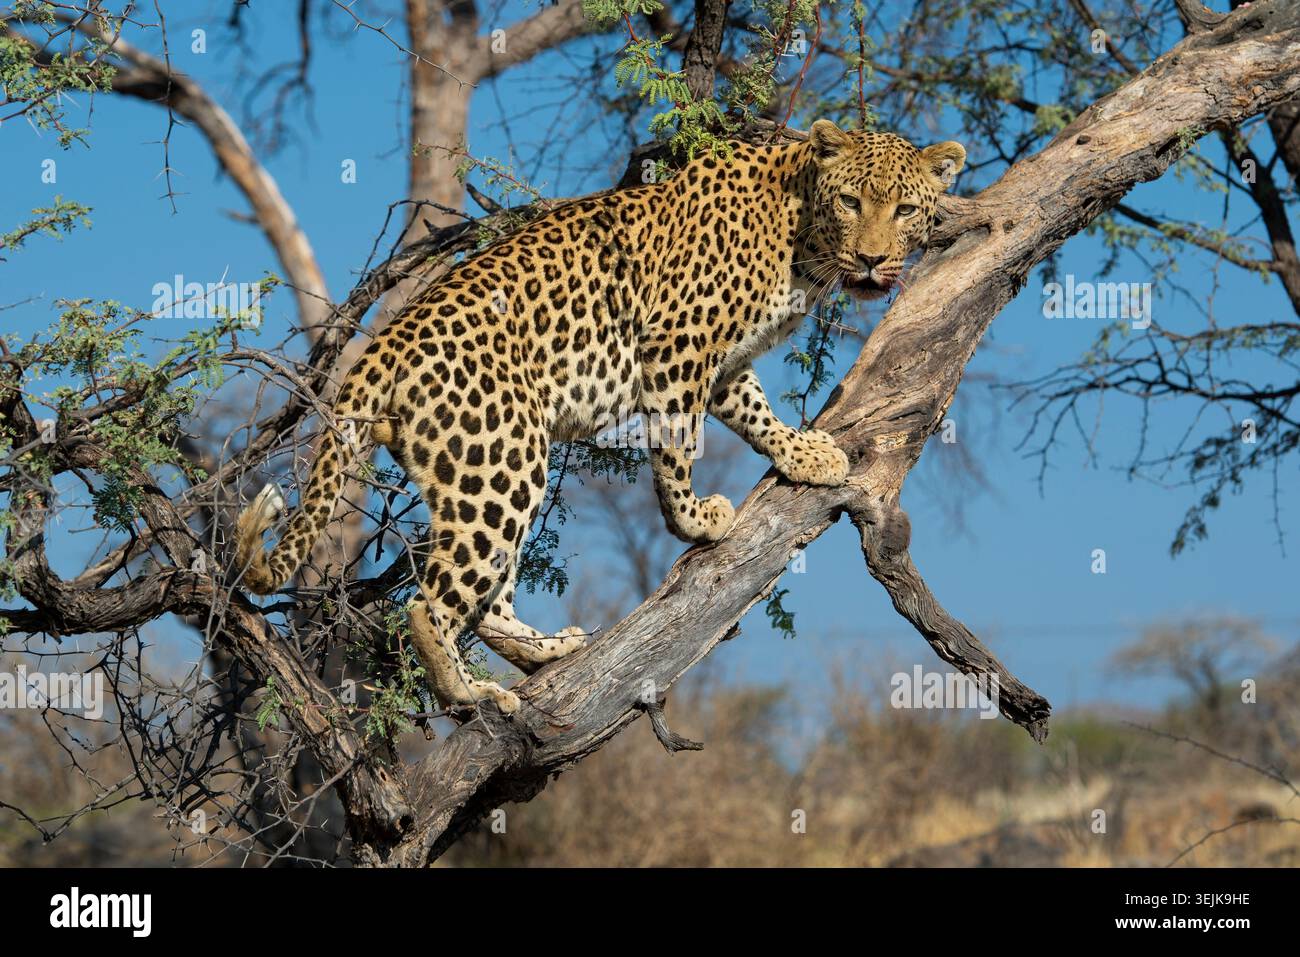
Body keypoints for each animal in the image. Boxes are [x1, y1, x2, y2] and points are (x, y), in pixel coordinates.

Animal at [234, 118, 966, 716]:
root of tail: (381, 345)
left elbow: (755, 410)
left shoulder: (725, 361)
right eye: (852, 202)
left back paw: (549, 651)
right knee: (429, 603)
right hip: (504, 457)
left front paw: (805, 454)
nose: (873, 259)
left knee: (486, 595)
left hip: (484, 468)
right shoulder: (679, 343)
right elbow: (680, 442)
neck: (802, 234)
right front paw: (695, 520)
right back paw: (471, 694)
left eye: (904, 208)